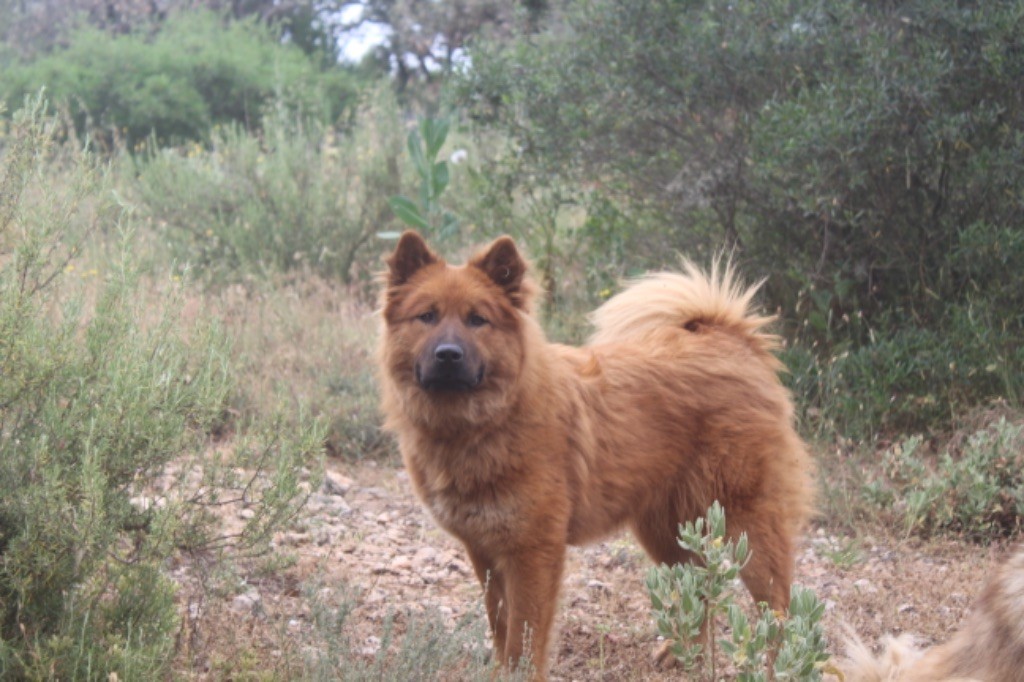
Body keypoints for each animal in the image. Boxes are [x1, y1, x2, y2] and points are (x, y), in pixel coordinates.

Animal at [376, 229, 815, 675]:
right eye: (426, 317)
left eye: (477, 320)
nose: (448, 354)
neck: (483, 424)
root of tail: (731, 340)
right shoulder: (484, 550)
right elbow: (501, 629)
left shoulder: (532, 552)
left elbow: (524, 636)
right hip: (668, 530)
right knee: (699, 589)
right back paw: (680, 655)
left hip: (748, 524)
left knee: (779, 608)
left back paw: (777, 667)